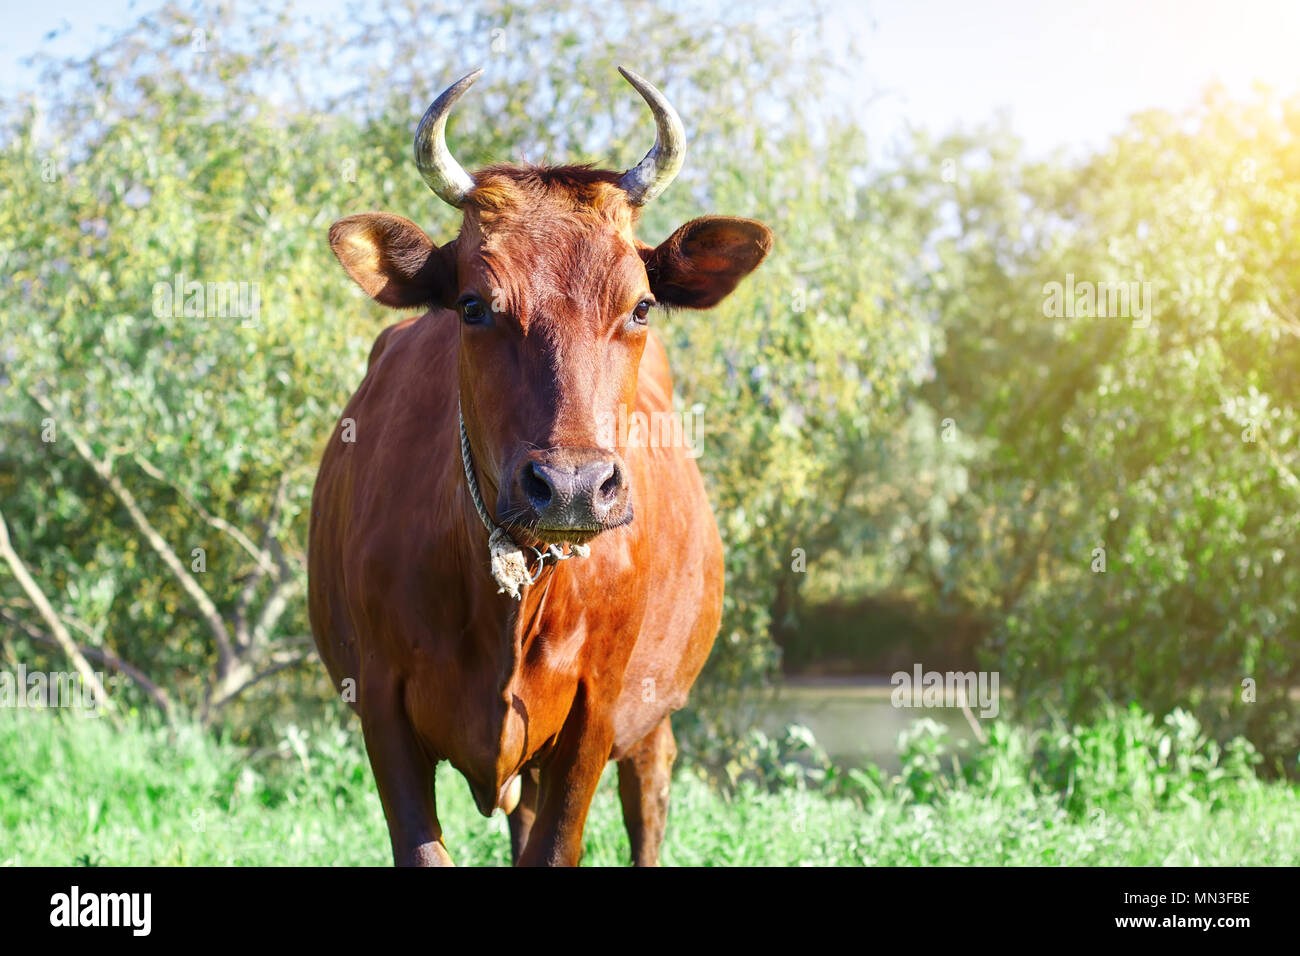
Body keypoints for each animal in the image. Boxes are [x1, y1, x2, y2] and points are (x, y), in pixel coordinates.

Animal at [308, 67, 772, 866]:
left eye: (641, 306)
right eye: (471, 305)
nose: (573, 488)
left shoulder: (595, 711)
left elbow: (558, 844)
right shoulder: (380, 704)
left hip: (652, 719)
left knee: (648, 802)